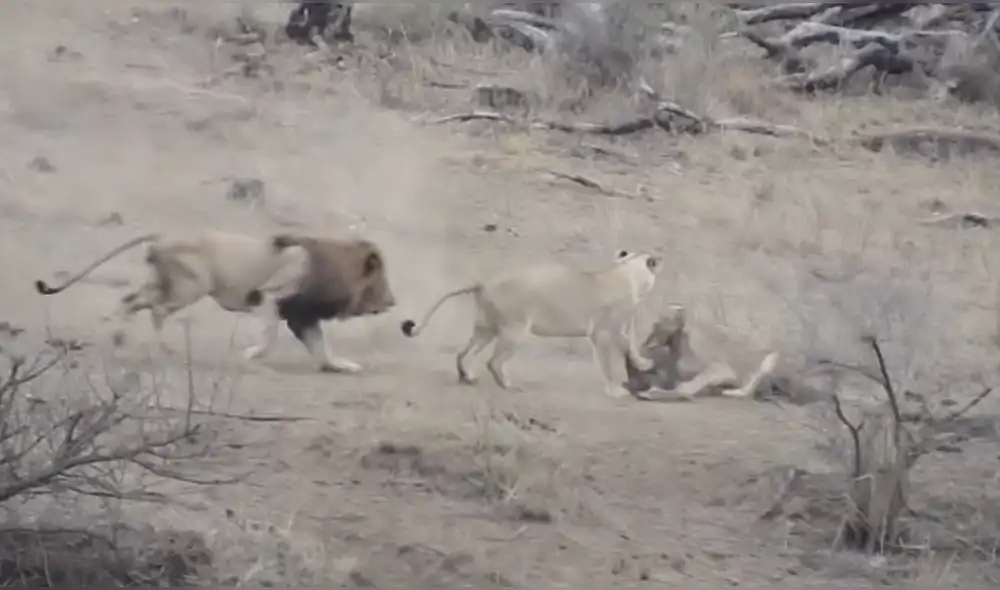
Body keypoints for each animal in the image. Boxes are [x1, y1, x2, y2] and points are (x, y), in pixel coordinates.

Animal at [33, 230, 396, 373]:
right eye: (381, 280)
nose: (392, 302)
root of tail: (162, 236)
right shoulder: (271, 297)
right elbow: (269, 337)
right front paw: (251, 356)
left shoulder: (302, 316)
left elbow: (321, 349)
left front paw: (341, 366)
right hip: (190, 286)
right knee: (157, 311)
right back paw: (166, 351)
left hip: (165, 284)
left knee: (130, 300)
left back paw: (118, 340)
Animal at [399, 250, 661, 398]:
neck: (627, 275)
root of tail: (483, 281)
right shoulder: (603, 332)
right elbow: (611, 360)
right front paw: (616, 389)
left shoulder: (618, 330)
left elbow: (630, 346)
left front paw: (642, 364)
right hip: (516, 329)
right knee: (493, 362)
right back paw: (508, 385)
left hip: (486, 328)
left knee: (462, 353)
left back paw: (468, 377)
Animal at [624, 304, 779, 401]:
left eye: (657, 324)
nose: (647, 344)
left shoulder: (719, 368)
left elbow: (686, 386)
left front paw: (647, 394)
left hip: (769, 361)